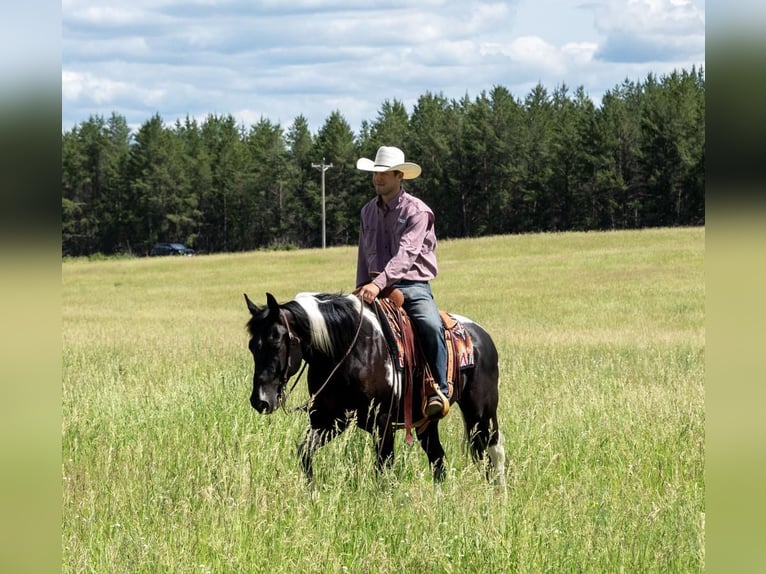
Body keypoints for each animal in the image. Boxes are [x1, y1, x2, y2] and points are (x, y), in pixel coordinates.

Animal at [246, 292, 508, 486]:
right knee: (438, 458)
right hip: (427, 422)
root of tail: (481, 336)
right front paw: (312, 492)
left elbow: (383, 465)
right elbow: (305, 454)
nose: (260, 400)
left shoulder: (382, 421)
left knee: (494, 452)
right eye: (251, 346)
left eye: (276, 340)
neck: (348, 350)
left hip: (481, 413)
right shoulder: (329, 420)